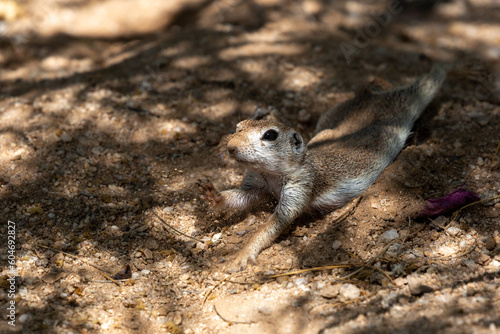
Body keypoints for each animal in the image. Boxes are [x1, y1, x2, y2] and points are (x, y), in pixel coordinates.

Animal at [197, 66, 448, 272]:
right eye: (238, 126)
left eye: (269, 135)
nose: (230, 147)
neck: (270, 174)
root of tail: (382, 98)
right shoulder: (256, 184)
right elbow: (241, 197)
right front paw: (212, 194)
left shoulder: (299, 188)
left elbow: (273, 224)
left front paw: (241, 254)